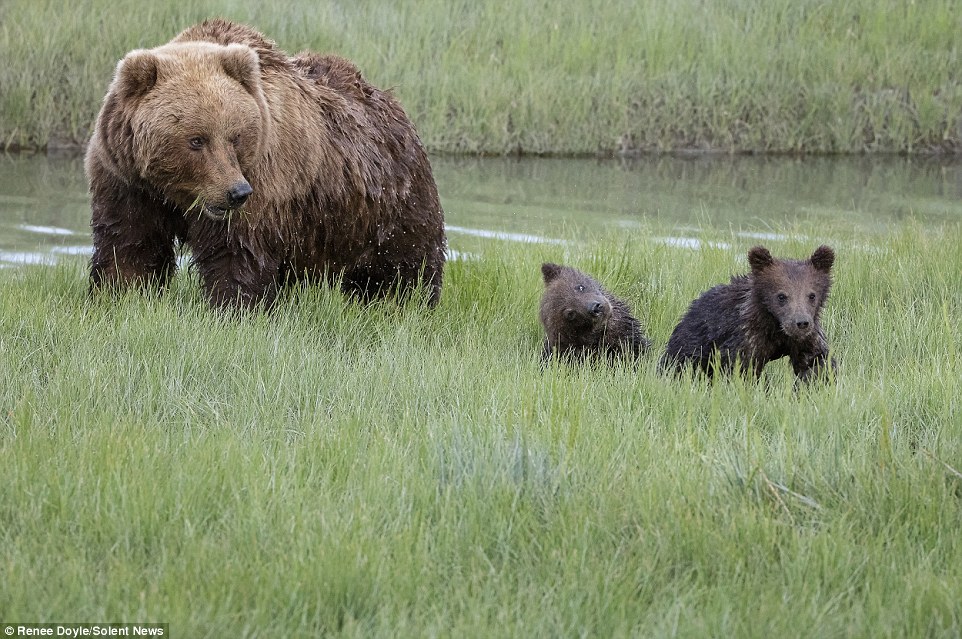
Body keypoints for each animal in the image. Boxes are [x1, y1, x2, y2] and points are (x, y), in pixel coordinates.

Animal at [84, 20, 444, 310]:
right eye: (197, 140)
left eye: (235, 136)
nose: (236, 192)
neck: (175, 192)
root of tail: (392, 103)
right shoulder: (127, 182)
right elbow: (130, 245)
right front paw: (120, 295)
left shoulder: (265, 183)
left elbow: (237, 254)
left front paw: (232, 309)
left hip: (389, 206)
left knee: (406, 265)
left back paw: (409, 302)